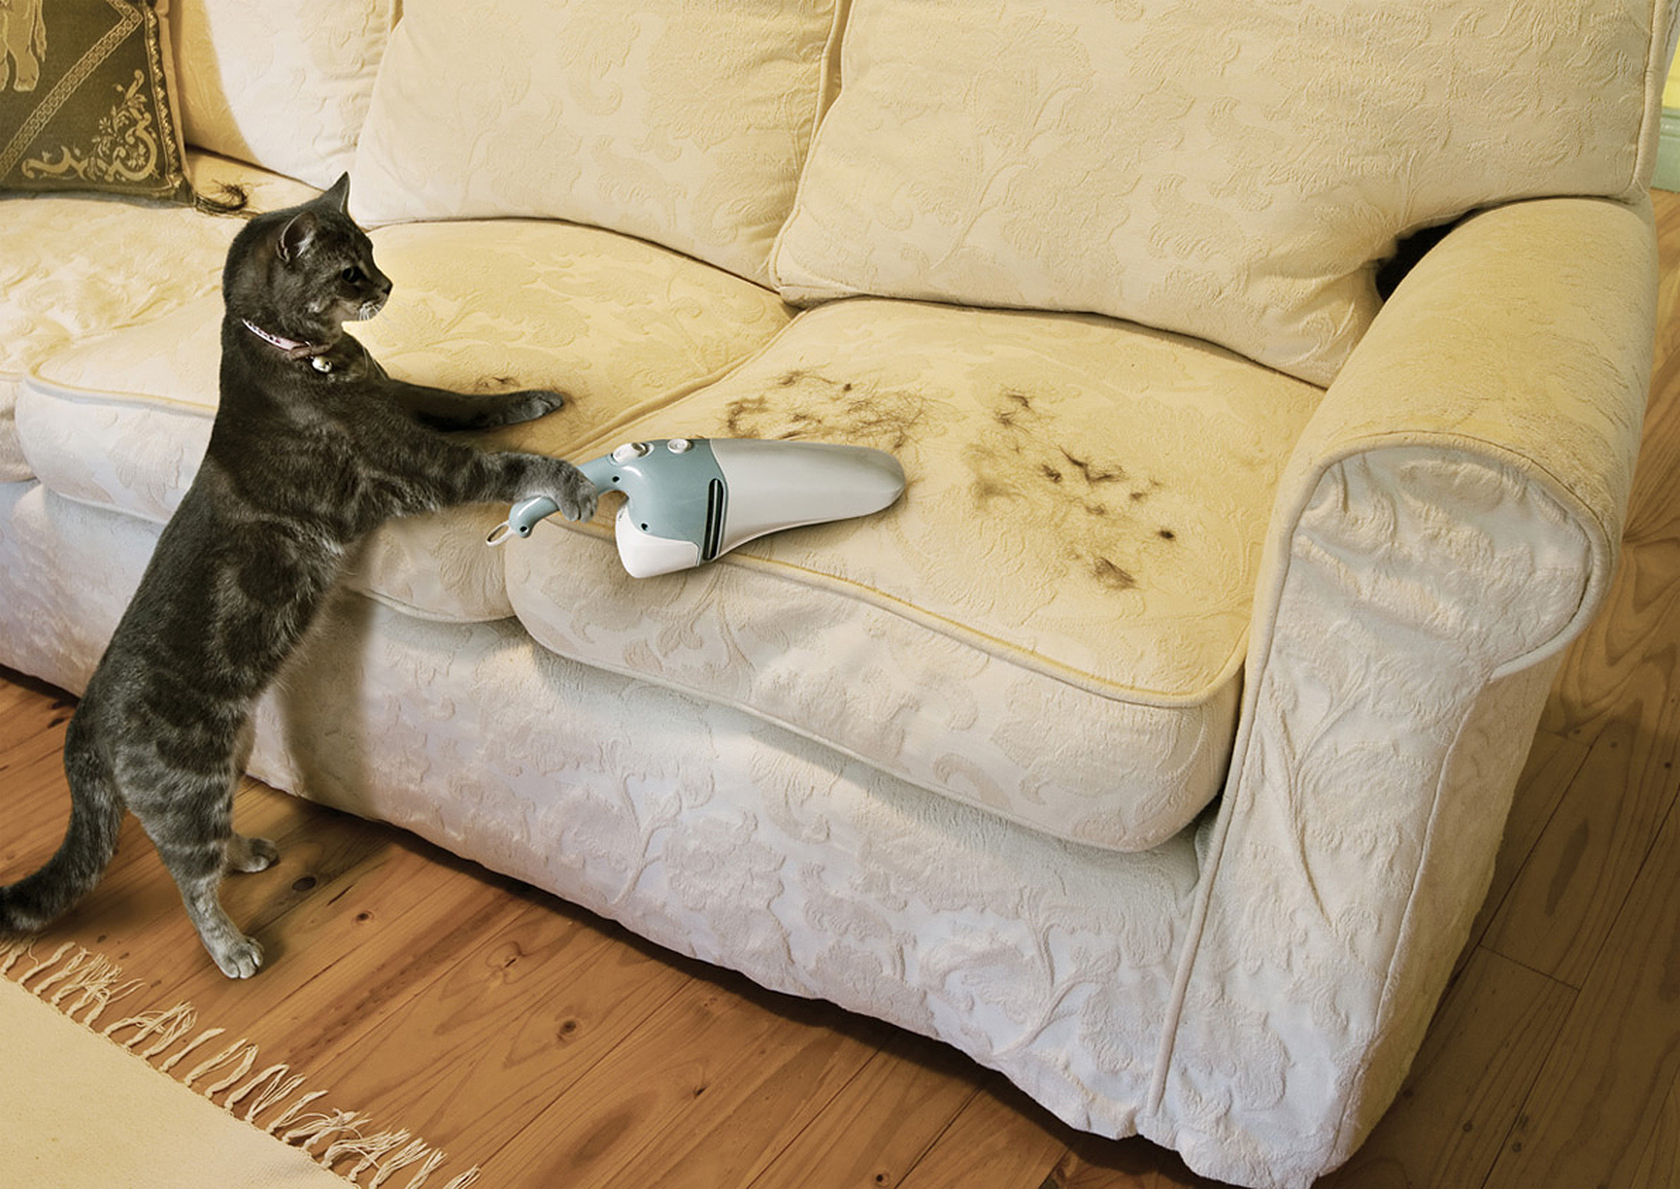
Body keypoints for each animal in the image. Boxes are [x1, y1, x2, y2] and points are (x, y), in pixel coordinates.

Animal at [0, 173, 601, 974]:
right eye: (350, 272)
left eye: (371, 250)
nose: (386, 284)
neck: (316, 357)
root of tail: (85, 719)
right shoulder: (420, 466)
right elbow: (511, 462)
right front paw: (571, 481)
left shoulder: (403, 397)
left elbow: (466, 401)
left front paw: (532, 395)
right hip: (187, 786)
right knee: (186, 872)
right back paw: (231, 946)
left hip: (234, 751)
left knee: (210, 846)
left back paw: (248, 850)